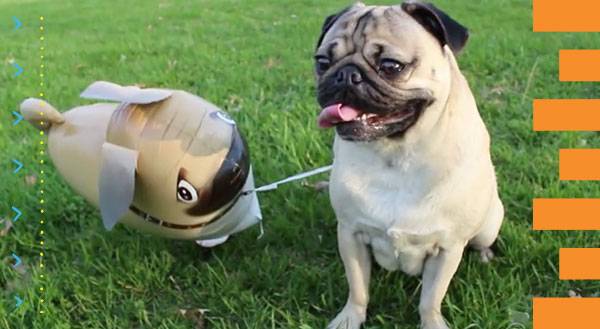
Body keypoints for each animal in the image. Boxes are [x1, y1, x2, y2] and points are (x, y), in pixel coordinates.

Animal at [316, 1, 504, 326]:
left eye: (391, 66)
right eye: (323, 62)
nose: (345, 75)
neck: (396, 155)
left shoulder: (448, 249)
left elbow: (430, 299)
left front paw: (432, 322)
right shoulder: (350, 234)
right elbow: (358, 288)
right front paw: (350, 317)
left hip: (489, 225)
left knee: (482, 240)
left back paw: (484, 256)